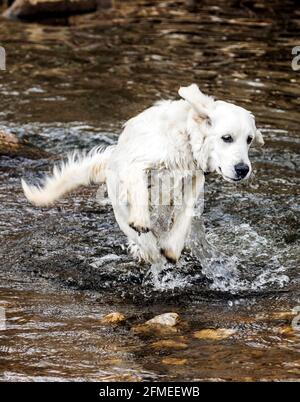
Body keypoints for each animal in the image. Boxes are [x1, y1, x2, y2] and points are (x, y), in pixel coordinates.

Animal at [22, 85, 264, 264]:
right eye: (226, 138)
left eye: (249, 139)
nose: (243, 169)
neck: (185, 140)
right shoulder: (139, 164)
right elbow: (139, 194)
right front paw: (143, 228)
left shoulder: (193, 181)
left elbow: (184, 217)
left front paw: (171, 249)